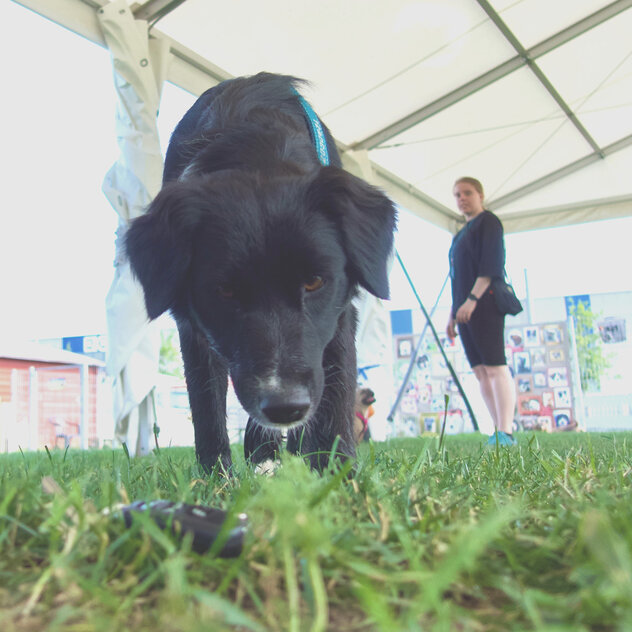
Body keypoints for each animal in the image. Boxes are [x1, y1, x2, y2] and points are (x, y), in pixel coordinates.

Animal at [125, 71, 396, 472]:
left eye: (314, 281)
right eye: (224, 291)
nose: (285, 407)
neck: (256, 150)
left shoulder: (339, 317)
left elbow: (336, 403)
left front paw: (337, 477)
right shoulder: (194, 327)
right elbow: (207, 411)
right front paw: (216, 479)